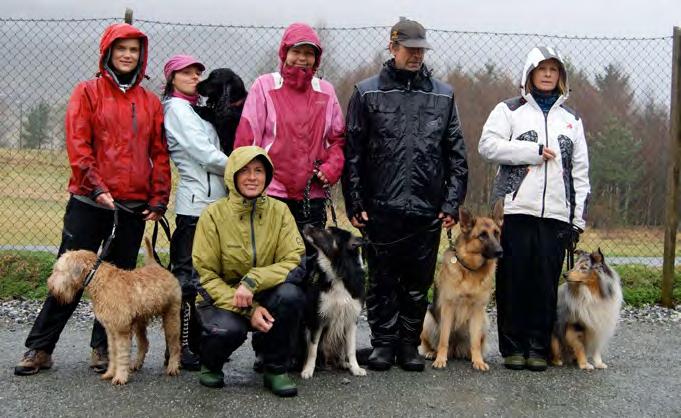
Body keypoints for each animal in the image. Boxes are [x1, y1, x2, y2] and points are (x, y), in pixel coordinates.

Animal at [47, 237, 181, 384]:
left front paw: (120, 377)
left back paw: (173, 367)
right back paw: (137, 363)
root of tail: (156, 265)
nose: (50, 285)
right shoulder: (111, 330)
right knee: (144, 343)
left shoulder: (121, 329)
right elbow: (113, 353)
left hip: (171, 317)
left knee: (174, 344)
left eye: (58, 270)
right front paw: (110, 373)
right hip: (140, 321)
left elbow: (121, 355)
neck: (98, 280)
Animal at [418, 204, 502, 370]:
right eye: (482, 235)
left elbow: (475, 342)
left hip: (484, 321)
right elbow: (443, 339)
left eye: (496, 233)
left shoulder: (477, 310)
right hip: (428, 319)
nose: (500, 252)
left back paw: (473, 356)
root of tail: (456, 348)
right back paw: (432, 353)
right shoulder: (448, 308)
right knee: (432, 343)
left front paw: (478, 361)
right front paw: (440, 360)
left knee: (475, 343)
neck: (471, 270)